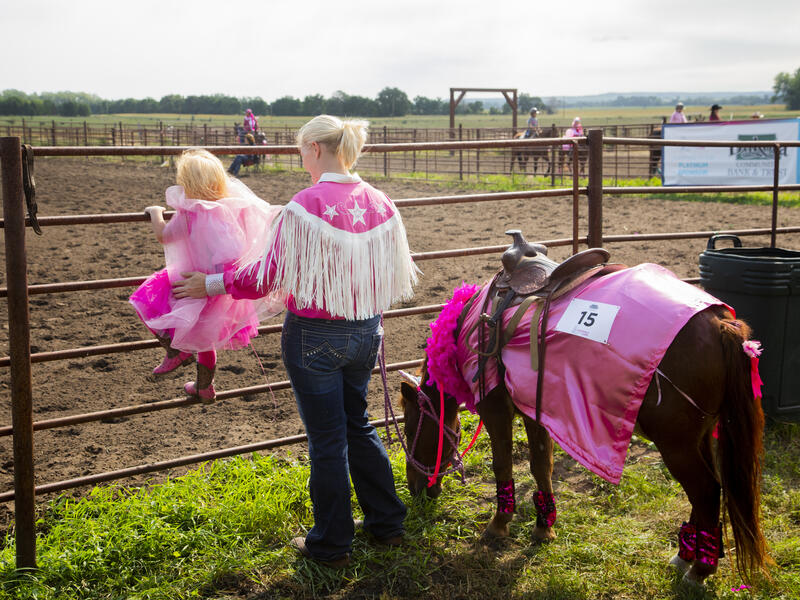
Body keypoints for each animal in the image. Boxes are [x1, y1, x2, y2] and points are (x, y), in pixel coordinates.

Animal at [404, 302, 772, 584]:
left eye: (409, 429)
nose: (417, 490)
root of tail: (721, 325)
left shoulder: (495, 408)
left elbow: (503, 464)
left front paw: (499, 525)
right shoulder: (534, 410)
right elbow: (541, 465)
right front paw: (544, 527)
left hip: (676, 445)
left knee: (706, 491)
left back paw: (699, 569)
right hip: (699, 438)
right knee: (708, 490)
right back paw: (686, 556)